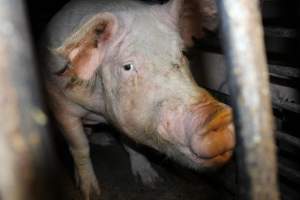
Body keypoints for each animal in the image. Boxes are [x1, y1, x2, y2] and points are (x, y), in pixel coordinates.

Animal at [39, 0, 236, 199]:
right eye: (127, 66)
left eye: (183, 54)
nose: (218, 116)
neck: (101, 110)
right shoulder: (61, 104)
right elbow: (80, 147)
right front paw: (91, 193)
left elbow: (131, 144)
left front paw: (152, 181)